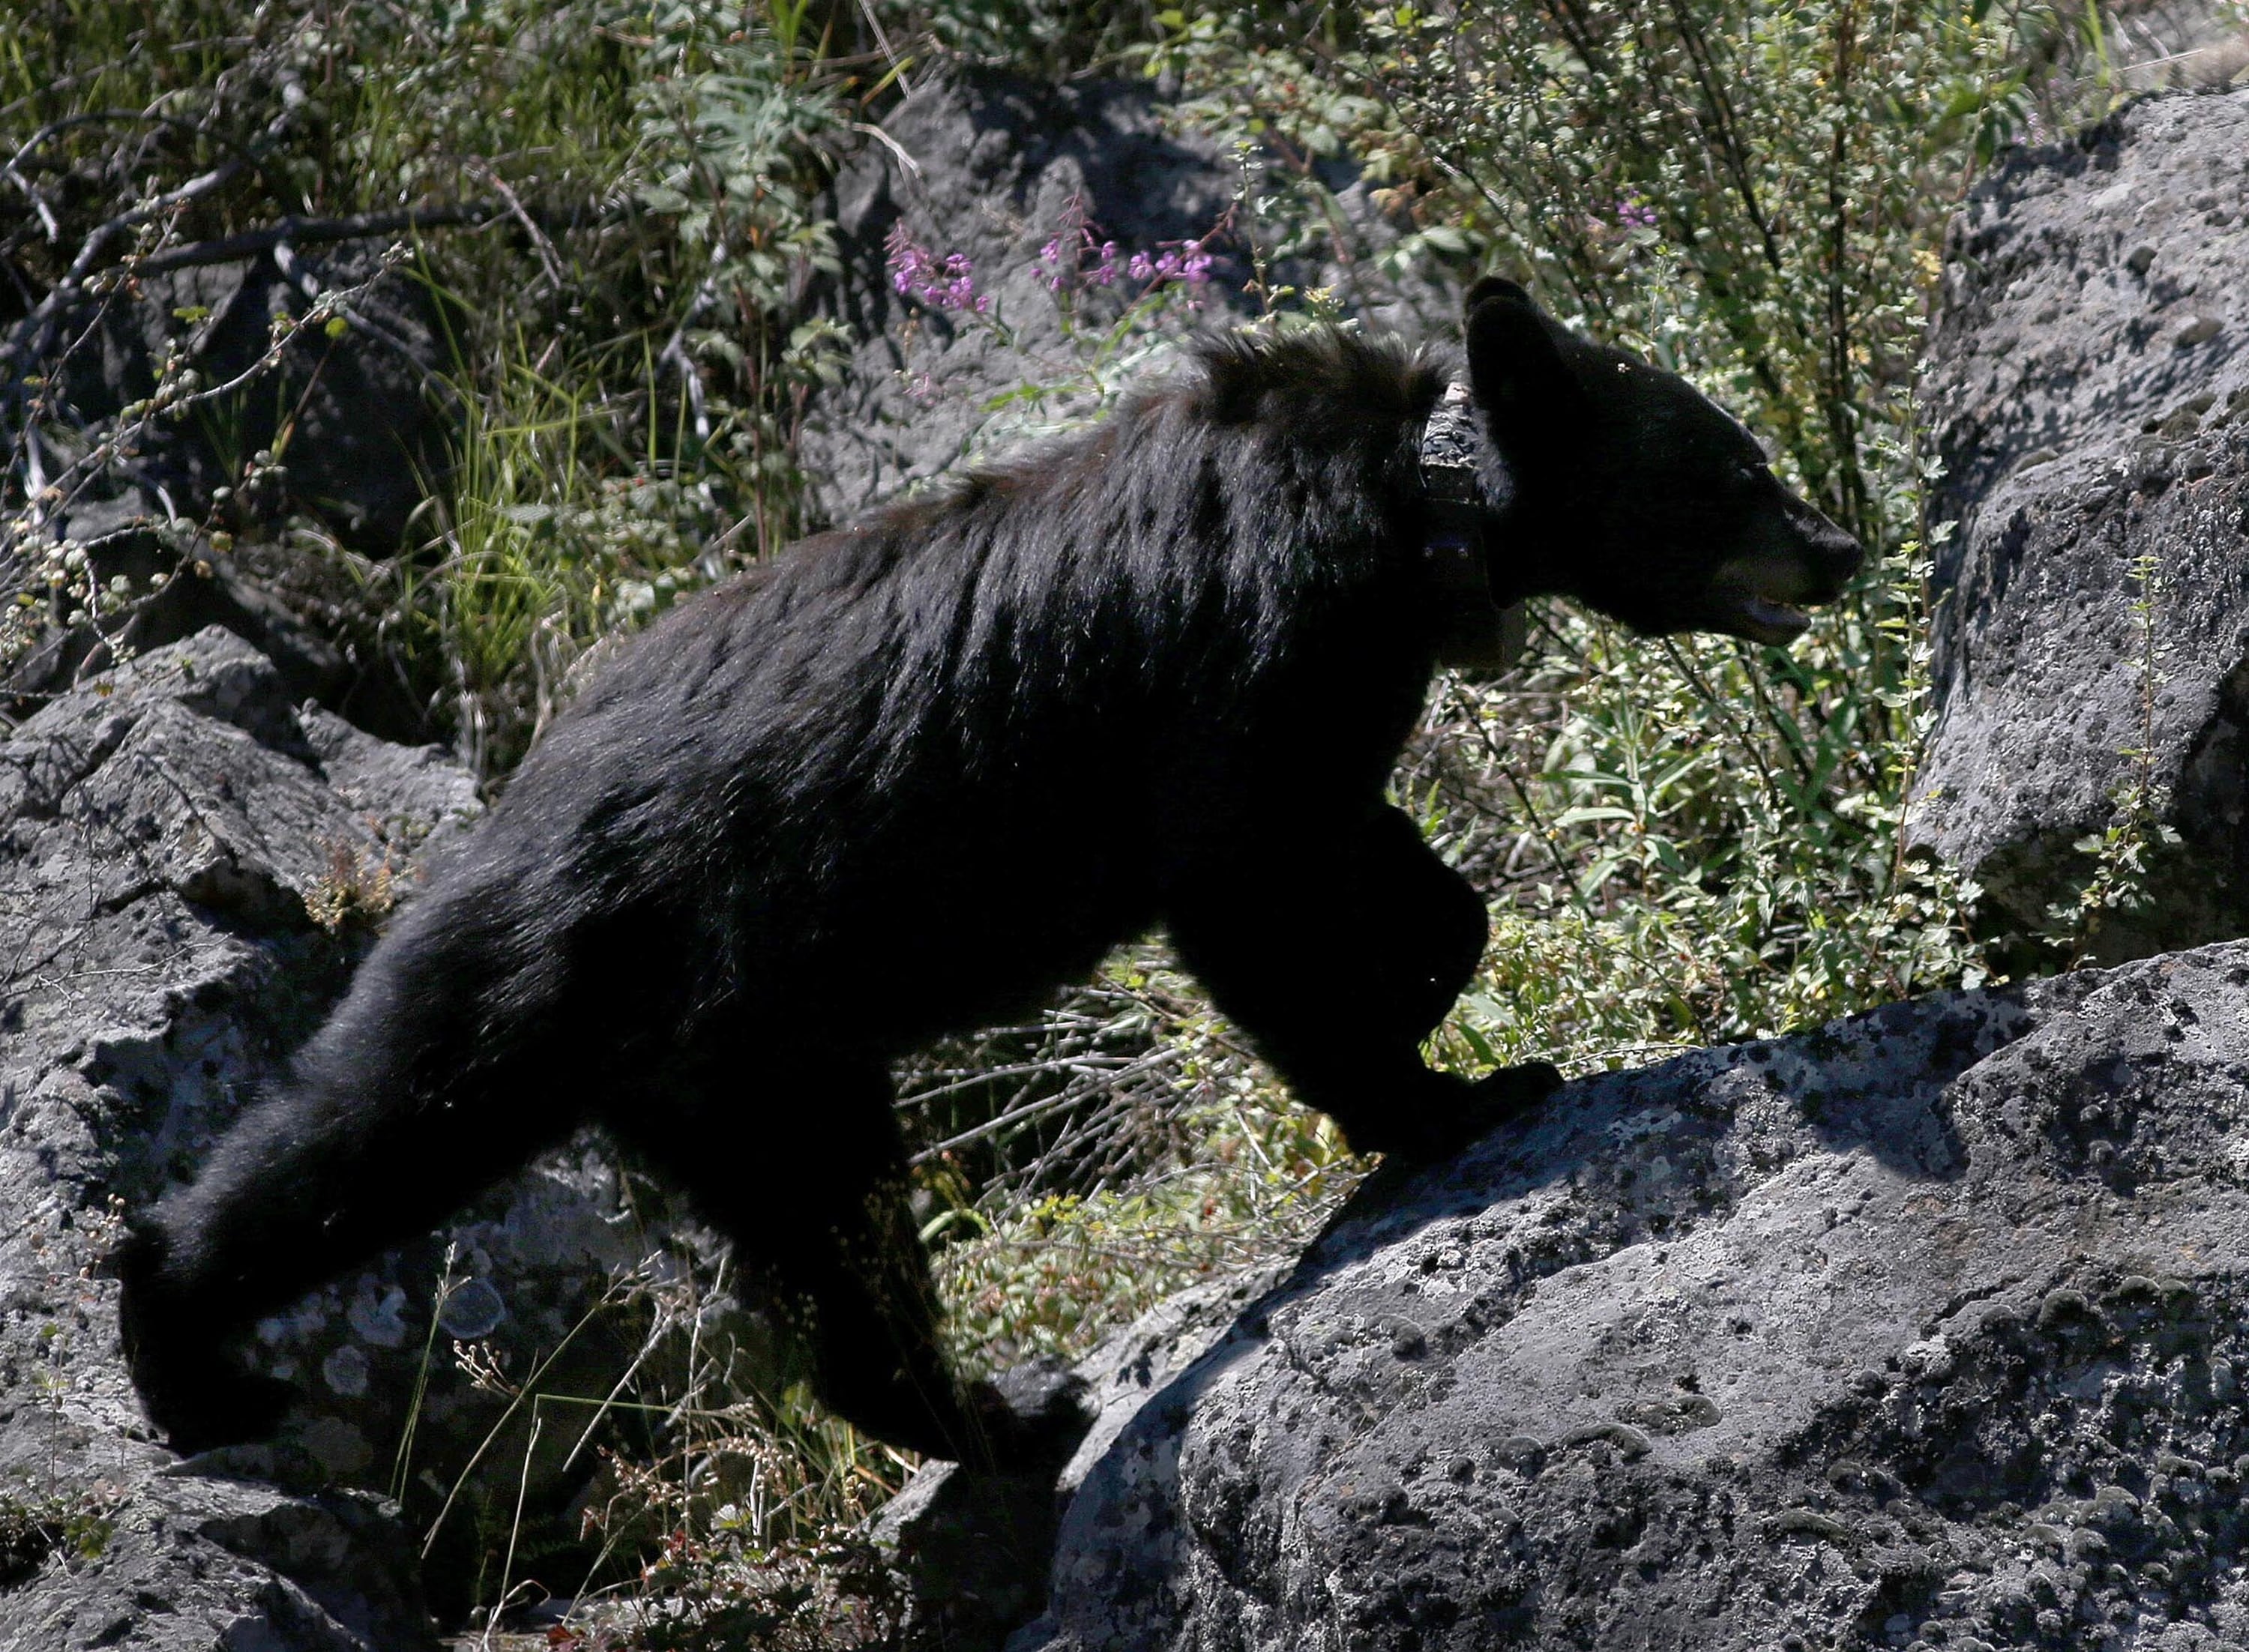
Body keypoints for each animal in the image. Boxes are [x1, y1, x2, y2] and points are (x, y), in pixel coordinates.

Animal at [116, 277, 1860, 1468]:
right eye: (1738, 467)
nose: (1844, 546)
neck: (1408, 505)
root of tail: (501, 817)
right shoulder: (1256, 652)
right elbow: (1249, 893)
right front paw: (1442, 1090)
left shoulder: (1335, 695)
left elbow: (1375, 852)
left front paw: (1434, 979)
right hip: (610, 990)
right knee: (376, 1126)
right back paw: (181, 1346)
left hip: (742, 1067)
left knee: (825, 1245)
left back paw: (993, 1412)